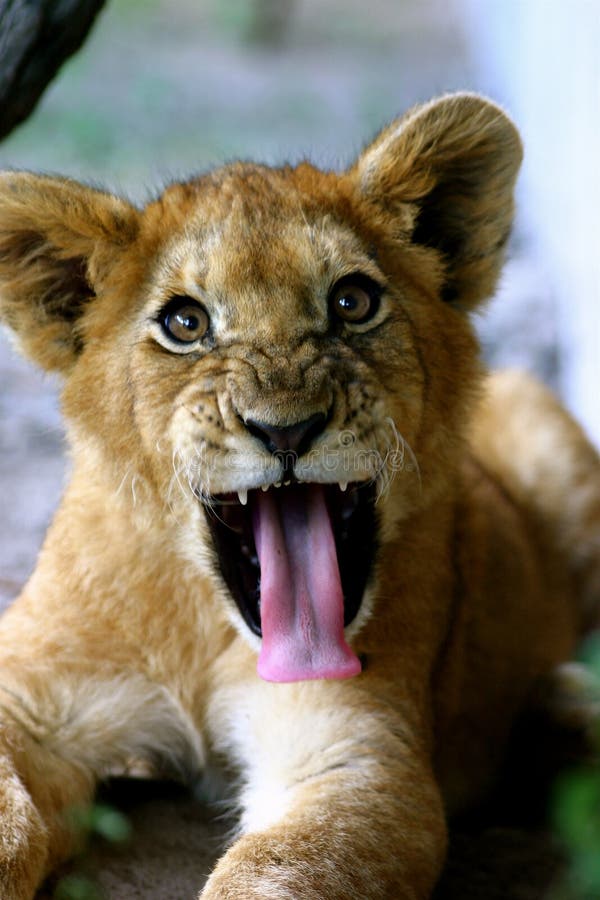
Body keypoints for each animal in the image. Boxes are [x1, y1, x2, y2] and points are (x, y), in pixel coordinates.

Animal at [0, 92, 598, 899]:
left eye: (352, 300)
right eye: (185, 322)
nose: (285, 429)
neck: (208, 632)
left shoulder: (354, 754)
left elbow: (275, 872)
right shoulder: (27, 692)